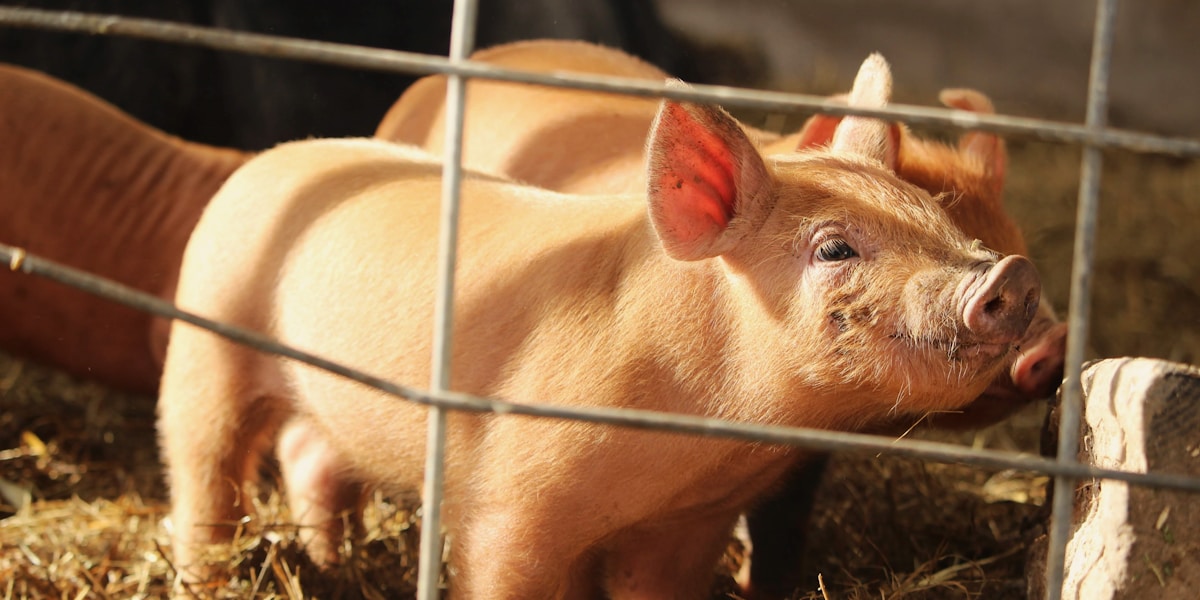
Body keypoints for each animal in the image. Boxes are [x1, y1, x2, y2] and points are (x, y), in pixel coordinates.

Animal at [158, 54, 1041, 598]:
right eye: (833, 248)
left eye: (935, 216)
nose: (1010, 276)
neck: (697, 437)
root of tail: (271, 160)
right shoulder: (511, 503)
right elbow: (501, 569)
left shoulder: (687, 526)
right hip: (206, 344)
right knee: (205, 477)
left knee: (307, 450)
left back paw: (328, 558)